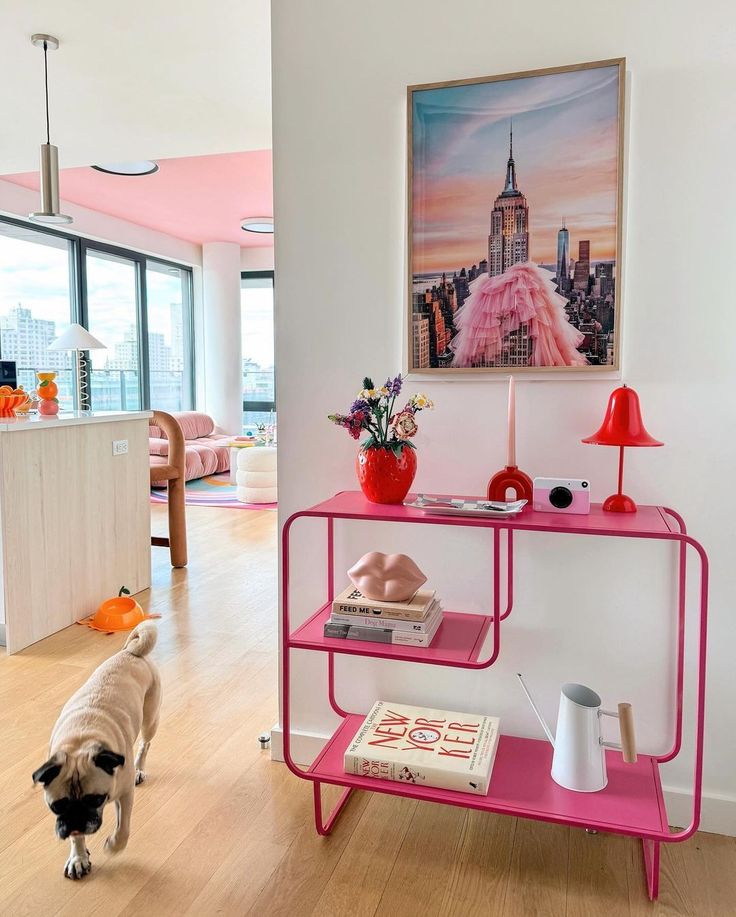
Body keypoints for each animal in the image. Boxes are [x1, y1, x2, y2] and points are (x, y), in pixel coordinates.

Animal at [31, 620, 161, 876]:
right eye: (57, 806)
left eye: (95, 800)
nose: (76, 819)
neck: (82, 741)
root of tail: (130, 653)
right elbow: (77, 838)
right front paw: (78, 857)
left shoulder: (125, 794)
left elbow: (123, 829)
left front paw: (113, 846)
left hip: (150, 720)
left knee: (145, 744)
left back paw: (140, 769)